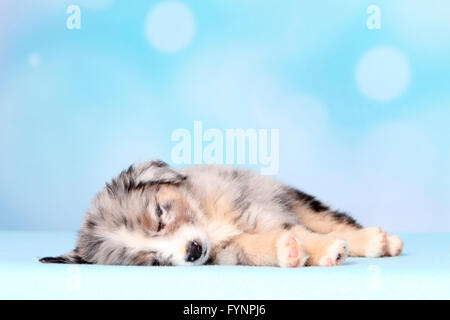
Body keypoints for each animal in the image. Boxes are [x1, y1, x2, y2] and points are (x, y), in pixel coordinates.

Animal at [39, 160, 404, 268]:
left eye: (159, 215)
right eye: (152, 261)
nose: (193, 251)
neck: (208, 224)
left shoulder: (252, 208)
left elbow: (303, 231)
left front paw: (327, 249)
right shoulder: (230, 250)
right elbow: (262, 247)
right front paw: (288, 251)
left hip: (291, 197)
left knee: (329, 220)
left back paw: (379, 241)